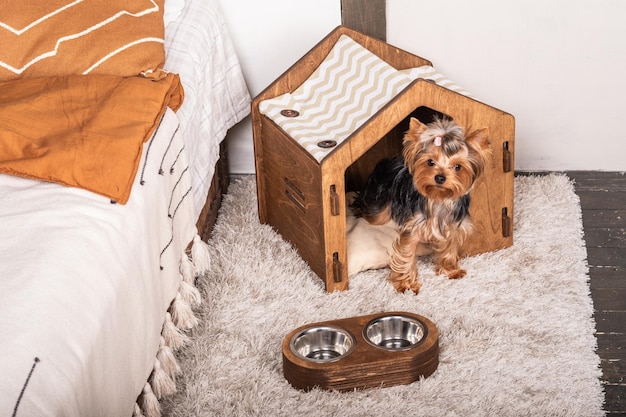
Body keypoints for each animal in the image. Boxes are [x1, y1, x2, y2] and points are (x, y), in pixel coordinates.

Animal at [352, 117, 488, 292]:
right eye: (430, 162)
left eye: (458, 166)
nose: (440, 177)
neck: (439, 199)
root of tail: (385, 161)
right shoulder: (413, 228)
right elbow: (407, 254)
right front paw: (406, 284)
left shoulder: (453, 226)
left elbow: (450, 247)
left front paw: (451, 270)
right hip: (379, 203)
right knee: (369, 209)